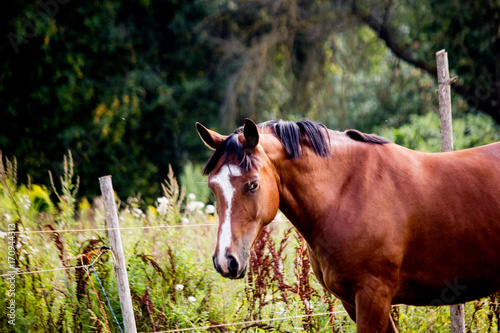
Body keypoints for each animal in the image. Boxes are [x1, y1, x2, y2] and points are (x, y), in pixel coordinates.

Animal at [194, 118, 500, 330]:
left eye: (253, 184)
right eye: (213, 187)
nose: (226, 261)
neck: (347, 193)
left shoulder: (373, 298)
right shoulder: (352, 301)